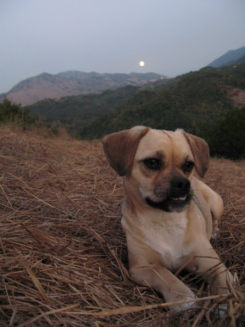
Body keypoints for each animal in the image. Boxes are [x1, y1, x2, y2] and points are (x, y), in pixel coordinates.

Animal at [102, 126, 235, 312]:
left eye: (188, 165)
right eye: (152, 162)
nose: (184, 183)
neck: (165, 219)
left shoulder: (211, 262)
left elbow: (223, 280)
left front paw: (226, 303)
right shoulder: (142, 267)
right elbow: (165, 275)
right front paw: (183, 297)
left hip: (217, 203)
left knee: (215, 220)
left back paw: (215, 232)